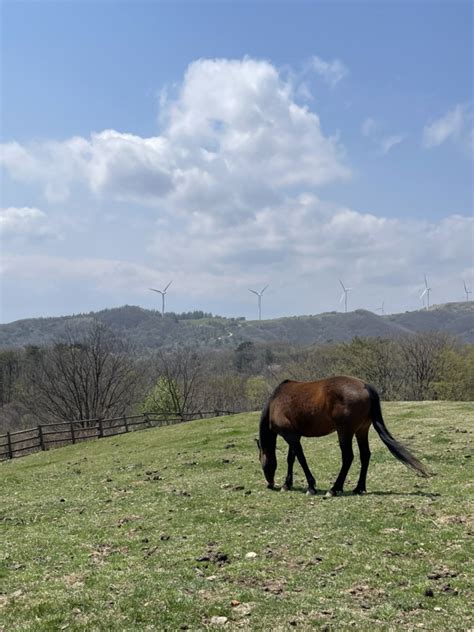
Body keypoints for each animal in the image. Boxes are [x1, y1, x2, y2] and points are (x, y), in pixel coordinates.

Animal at [258, 376, 428, 494]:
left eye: (261, 461)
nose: (270, 483)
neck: (275, 402)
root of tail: (365, 386)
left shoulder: (290, 436)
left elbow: (300, 458)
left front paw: (311, 486)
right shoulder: (294, 436)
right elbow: (291, 459)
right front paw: (287, 484)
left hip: (344, 432)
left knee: (348, 457)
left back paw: (335, 489)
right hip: (361, 430)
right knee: (365, 455)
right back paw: (359, 488)